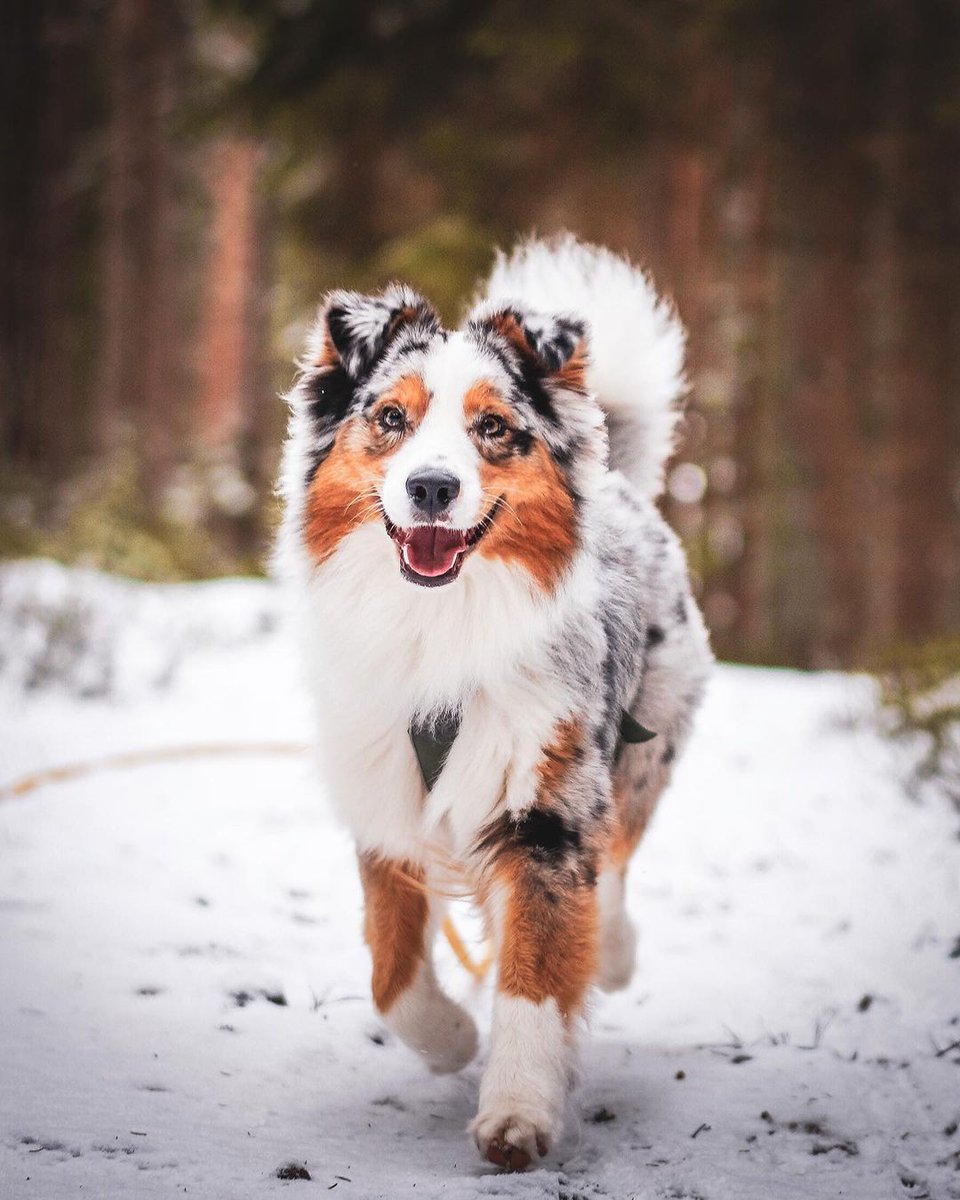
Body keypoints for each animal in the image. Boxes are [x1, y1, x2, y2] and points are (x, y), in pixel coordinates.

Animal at [273, 234, 710, 1171]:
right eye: (390, 418)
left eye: (493, 429)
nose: (433, 488)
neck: (440, 624)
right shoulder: (386, 798)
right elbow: (391, 972)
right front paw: (451, 1042)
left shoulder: (545, 809)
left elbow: (536, 977)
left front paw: (516, 1114)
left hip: (644, 741)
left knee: (617, 860)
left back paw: (614, 952)